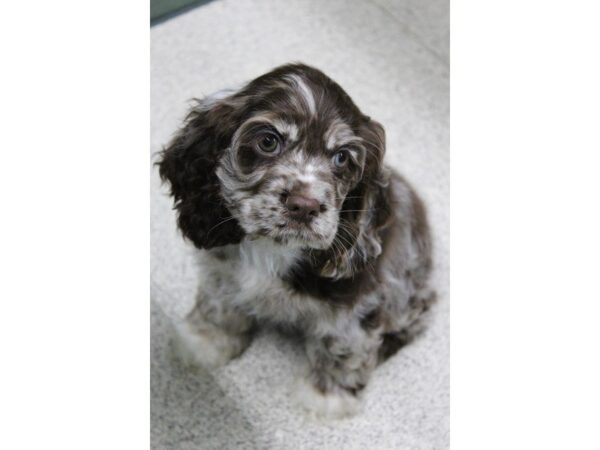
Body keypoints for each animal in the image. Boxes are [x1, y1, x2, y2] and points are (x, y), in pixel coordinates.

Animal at [157, 62, 434, 418]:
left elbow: (343, 344)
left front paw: (326, 397)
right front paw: (204, 341)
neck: (273, 248)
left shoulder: (358, 298)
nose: (305, 205)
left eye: (342, 158)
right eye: (268, 141)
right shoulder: (222, 270)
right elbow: (217, 304)